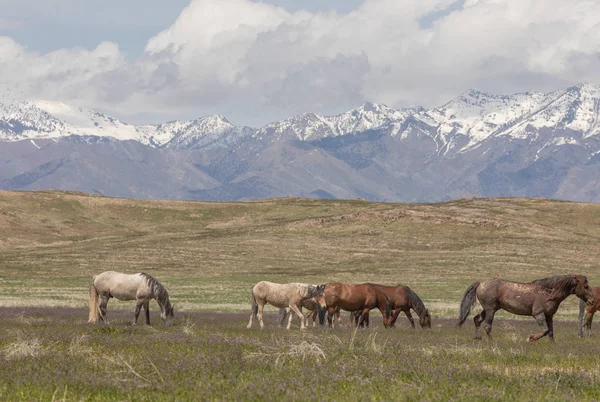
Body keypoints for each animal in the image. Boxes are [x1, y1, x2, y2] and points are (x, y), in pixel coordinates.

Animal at [460, 274, 596, 342]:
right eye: (586, 286)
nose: (592, 301)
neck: (548, 292)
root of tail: (480, 283)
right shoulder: (538, 314)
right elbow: (545, 330)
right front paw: (531, 338)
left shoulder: (549, 316)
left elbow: (551, 332)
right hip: (490, 309)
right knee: (487, 325)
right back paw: (492, 343)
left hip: (490, 309)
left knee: (477, 319)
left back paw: (477, 339)